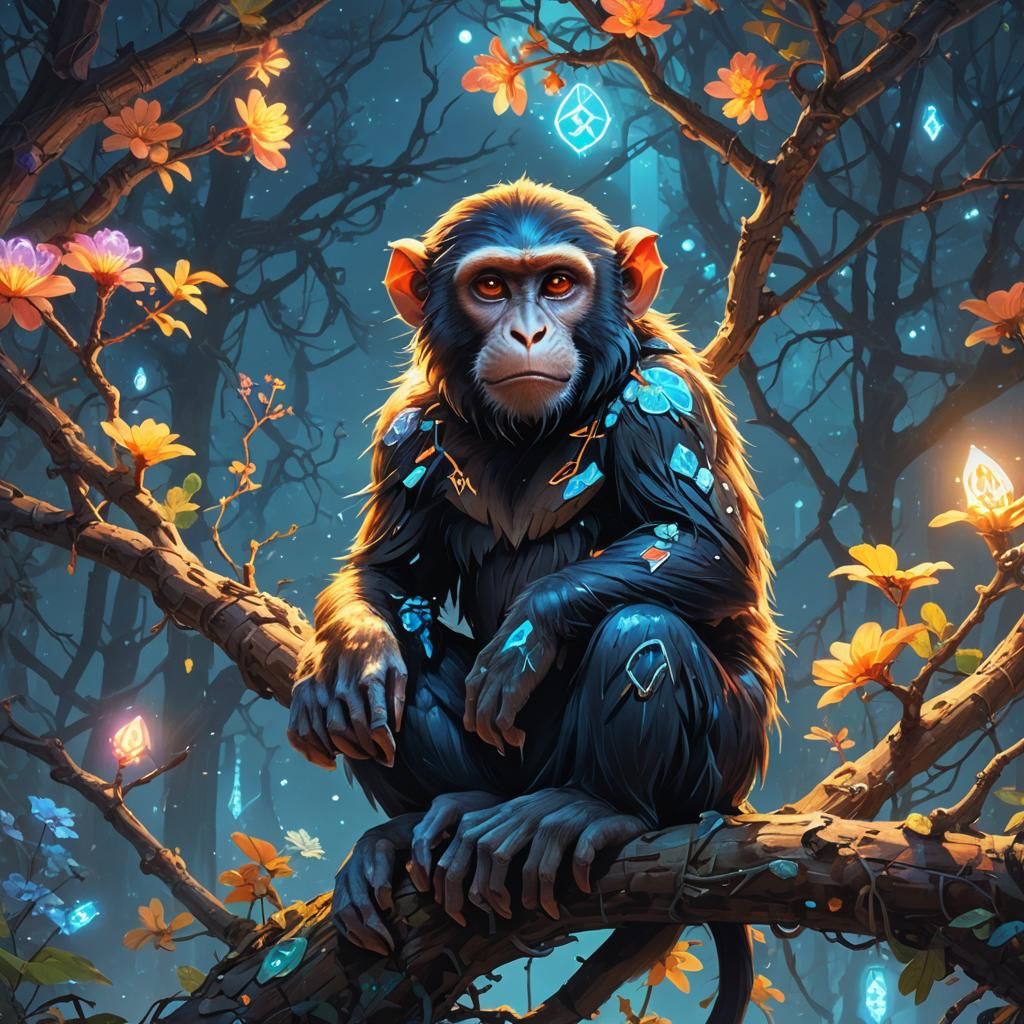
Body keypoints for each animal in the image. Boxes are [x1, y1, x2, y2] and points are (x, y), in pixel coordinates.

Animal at [288, 178, 782, 1024]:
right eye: (490, 286)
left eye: (558, 283)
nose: (526, 329)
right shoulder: (406, 426)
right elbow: (385, 575)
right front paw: (352, 656)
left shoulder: (665, 396)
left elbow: (704, 545)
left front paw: (530, 630)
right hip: (507, 773)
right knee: (408, 652)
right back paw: (424, 813)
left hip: (718, 775)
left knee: (642, 630)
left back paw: (591, 809)